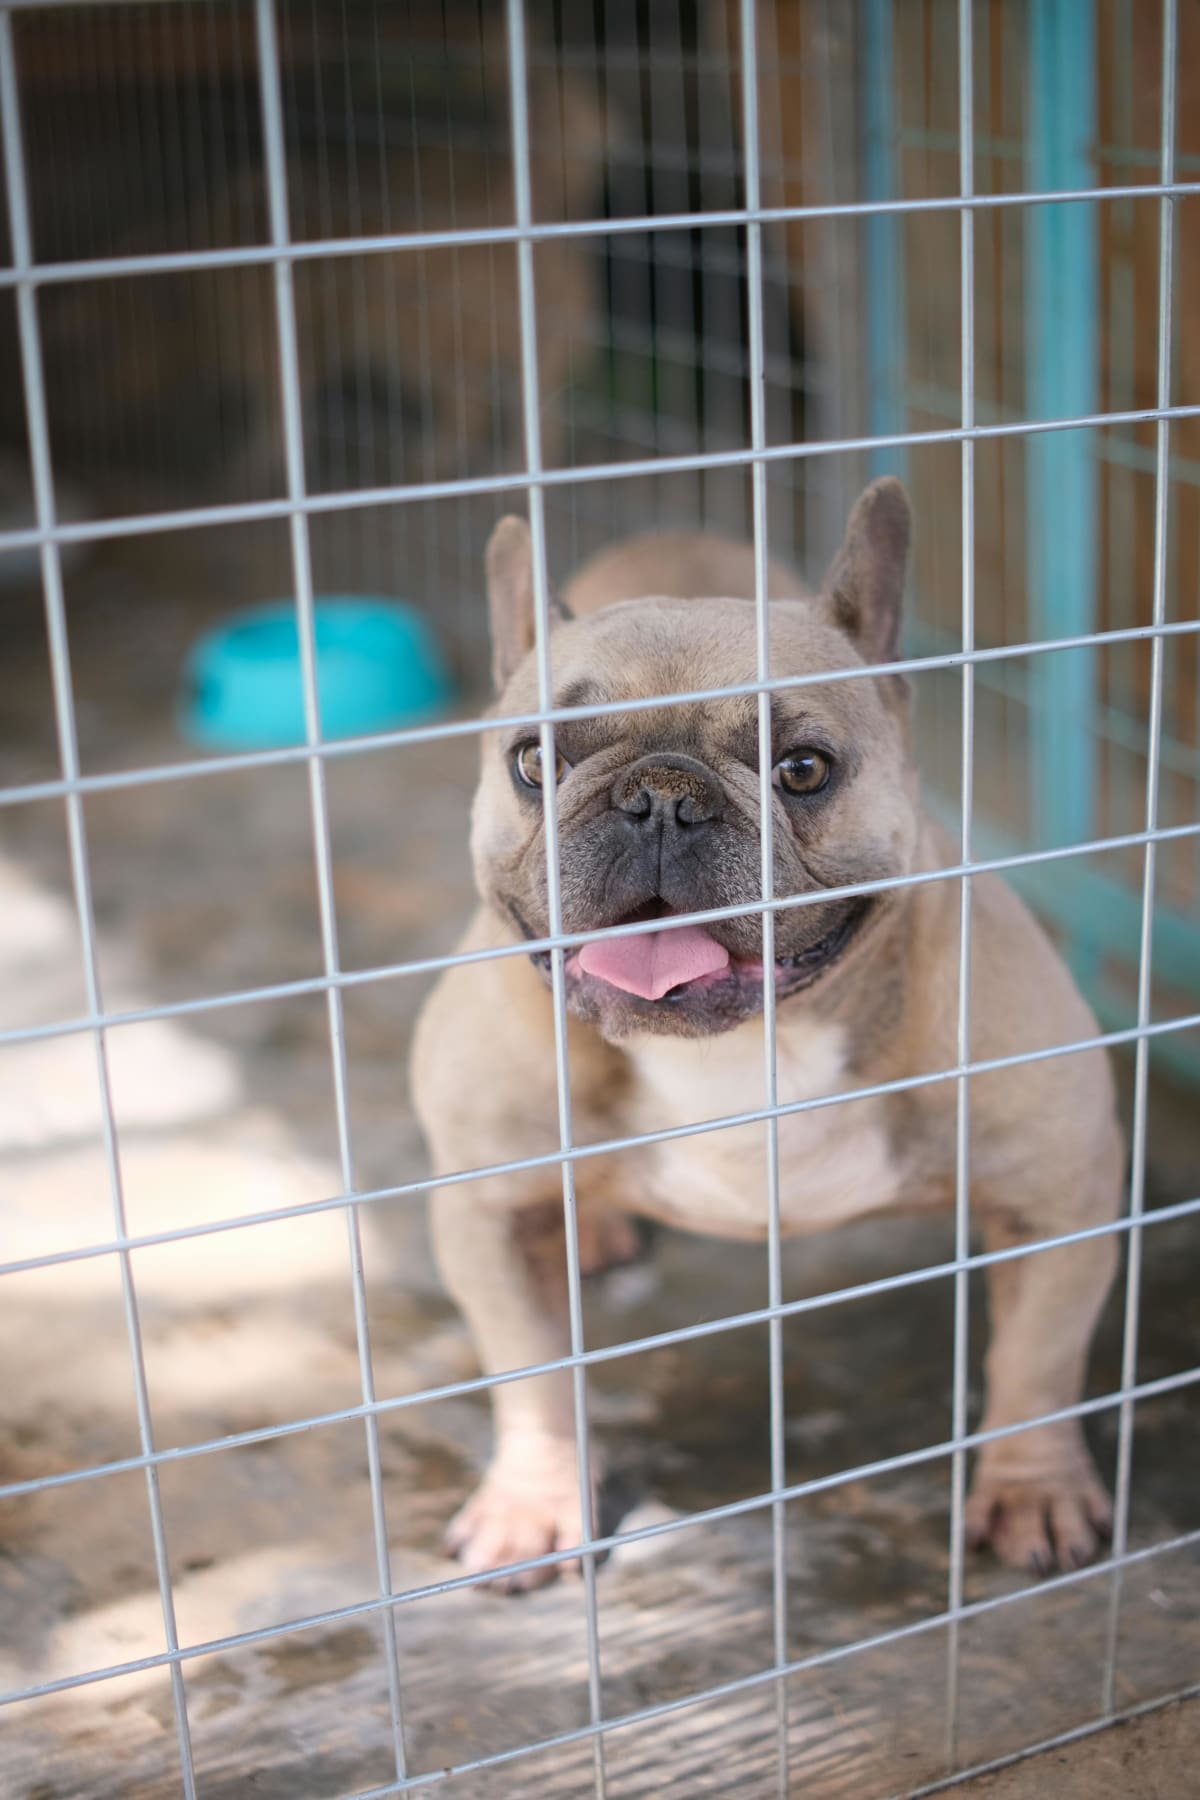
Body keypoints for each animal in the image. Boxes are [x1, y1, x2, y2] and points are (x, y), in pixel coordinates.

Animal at [415, 478, 1129, 1591]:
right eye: (532, 761)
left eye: (802, 769)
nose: (660, 798)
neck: (737, 1049)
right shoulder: (485, 1211)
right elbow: (530, 1370)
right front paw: (534, 1504)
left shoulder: (1058, 1198)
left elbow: (1037, 1363)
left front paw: (1033, 1491)